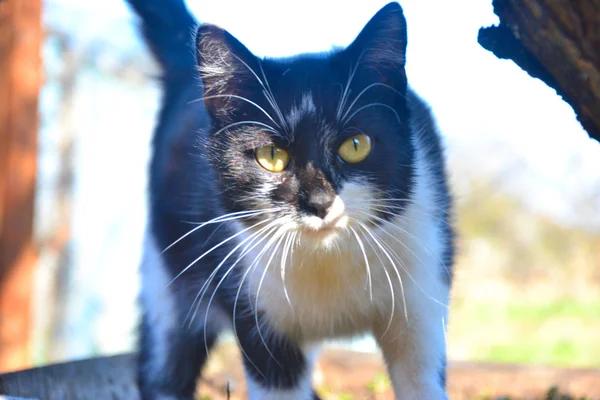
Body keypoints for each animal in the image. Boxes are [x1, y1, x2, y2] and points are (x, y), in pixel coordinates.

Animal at [127, 0, 454, 398]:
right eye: (271, 156)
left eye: (356, 145)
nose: (319, 202)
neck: (329, 260)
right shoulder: (257, 317)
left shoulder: (423, 294)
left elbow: (420, 376)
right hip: (169, 279)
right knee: (164, 362)